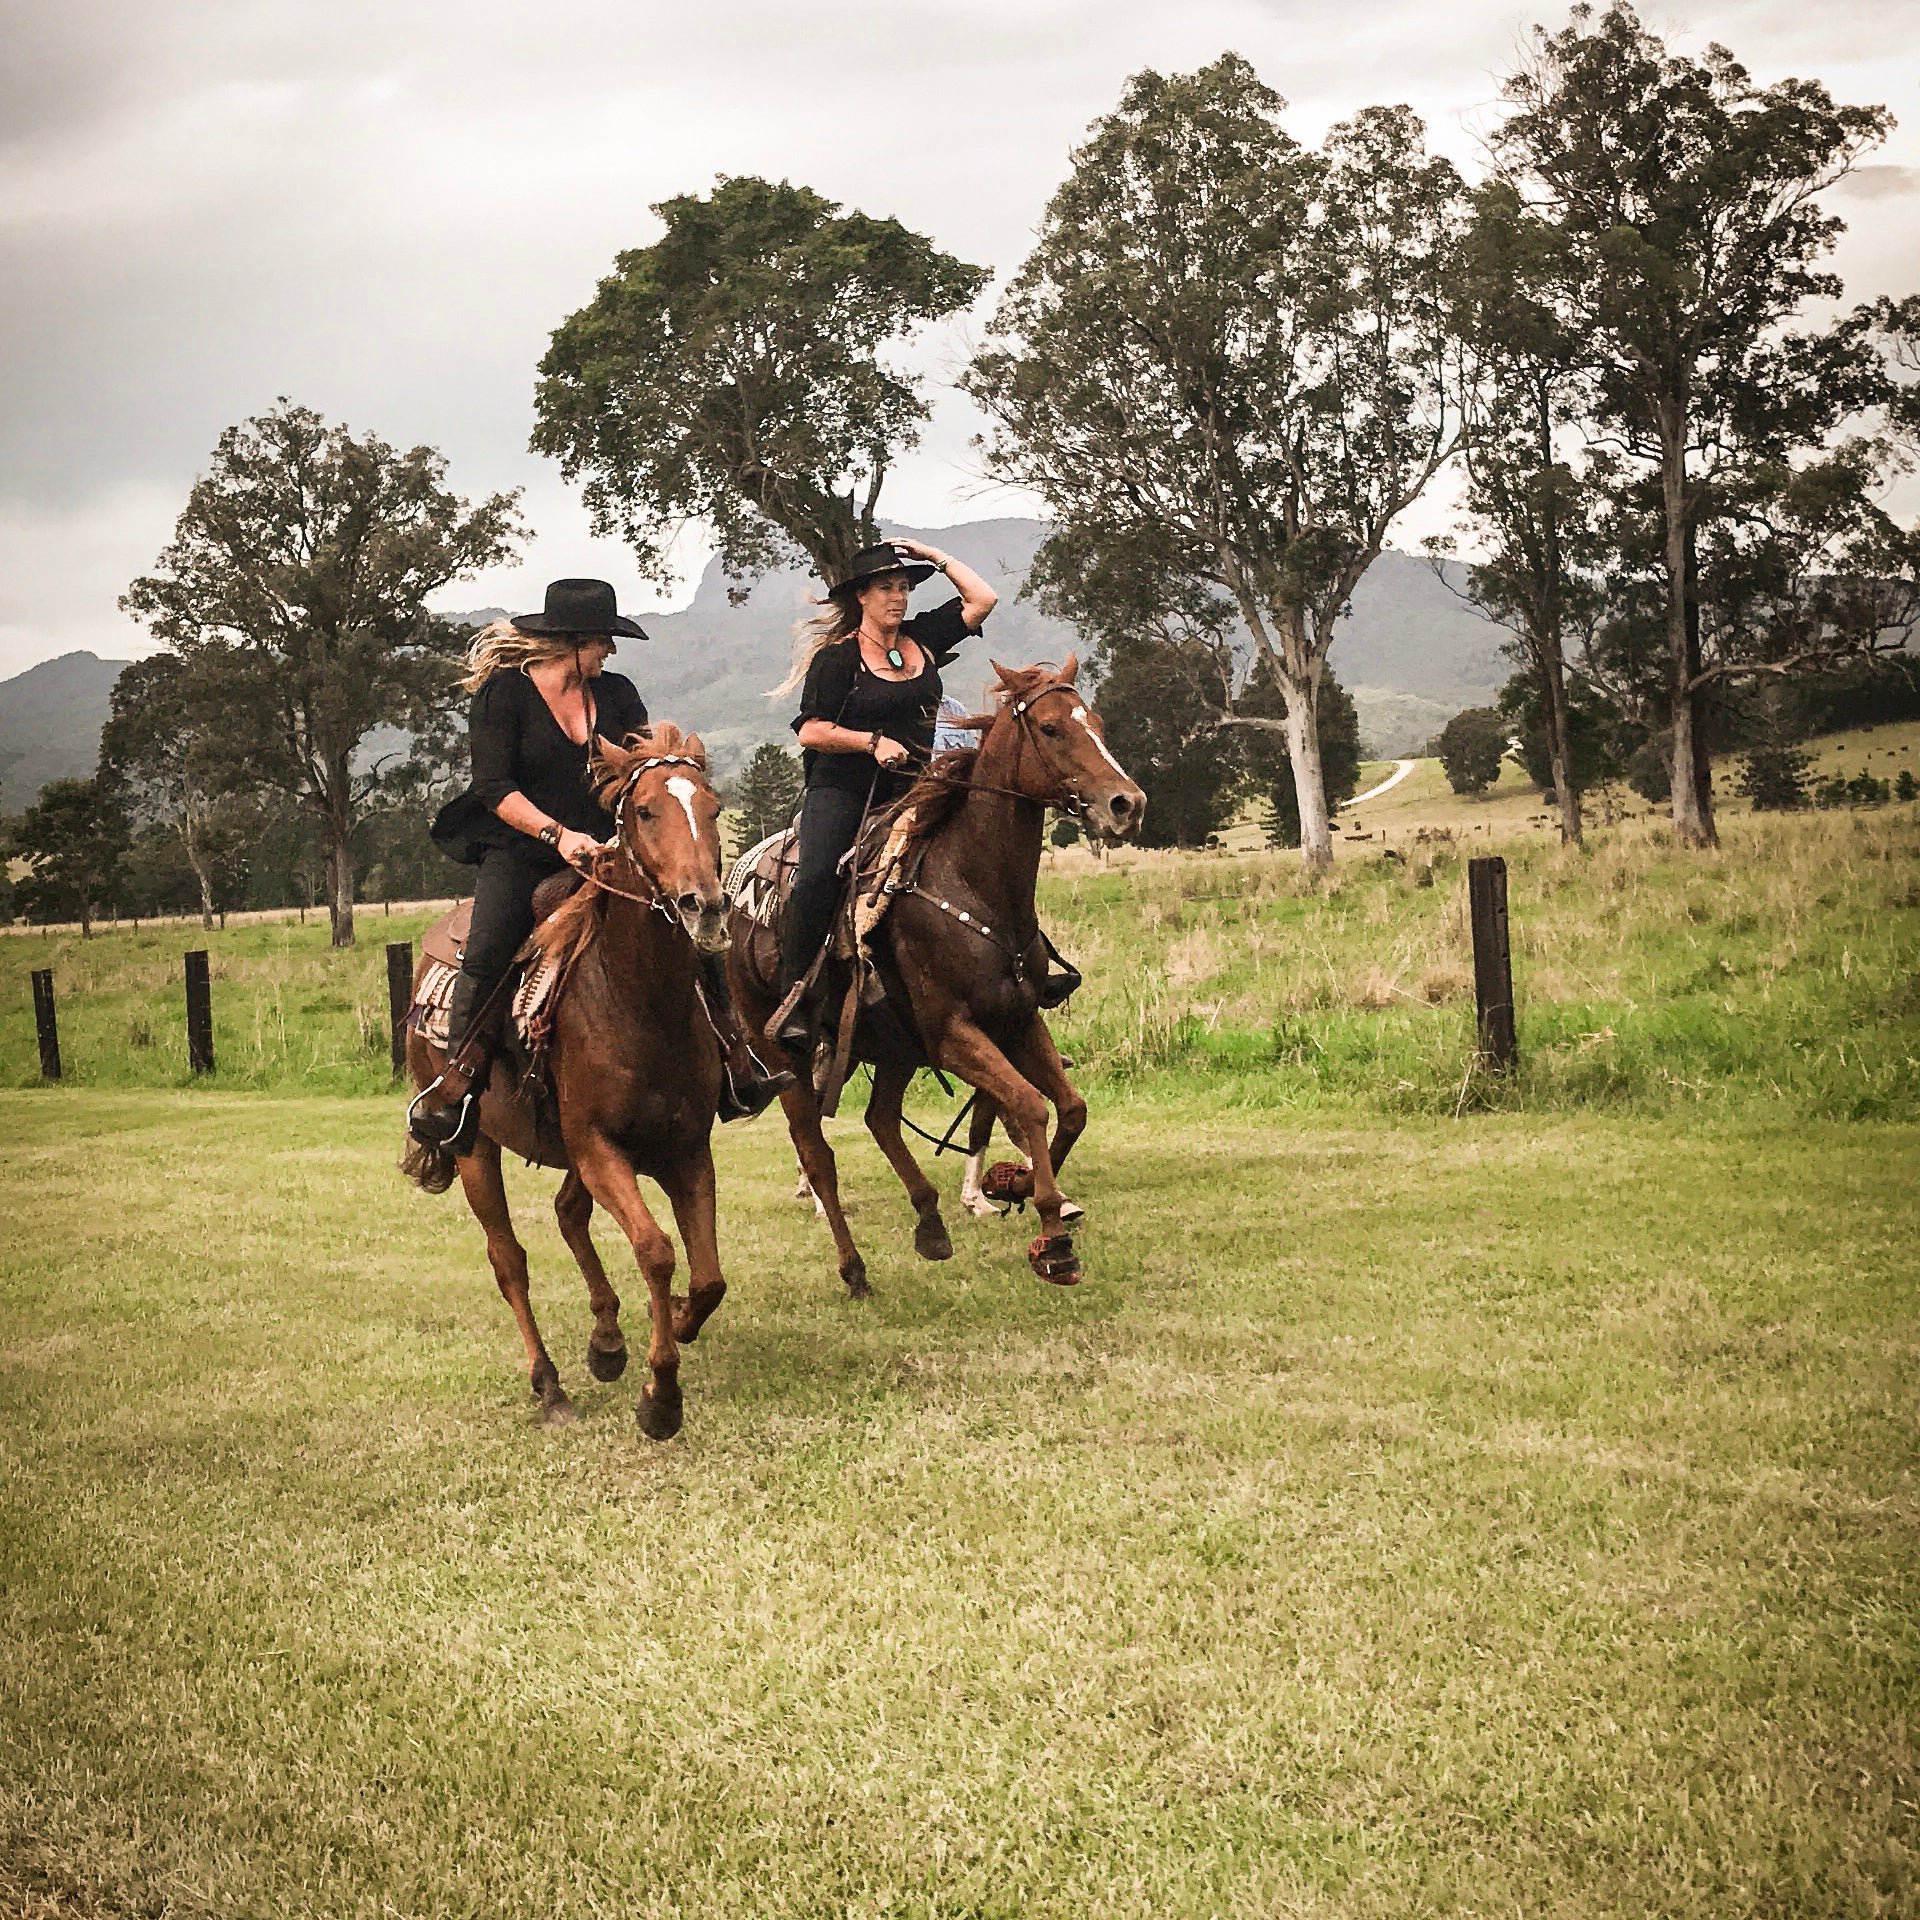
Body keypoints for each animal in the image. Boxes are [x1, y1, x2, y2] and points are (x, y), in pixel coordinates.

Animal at [401, 721, 729, 1443]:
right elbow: (656, 1250)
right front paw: (661, 1396)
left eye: (715, 809)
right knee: (509, 1260)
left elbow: (709, 1276)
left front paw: (677, 1323)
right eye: (645, 812)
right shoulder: (600, 1148)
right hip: (474, 1146)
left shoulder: (686, 1149)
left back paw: (606, 1340)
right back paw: (549, 1385)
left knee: (566, 1214)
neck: (639, 1002)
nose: (704, 906)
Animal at [733, 652, 1144, 1297]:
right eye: (1051, 728)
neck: (974, 885)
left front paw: (1020, 1186)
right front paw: (1053, 1240)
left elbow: (1070, 1108)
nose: (1128, 803)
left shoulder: (1016, 1022)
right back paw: (853, 1267)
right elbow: (1029, 1105)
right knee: (818, 1152)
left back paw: (929, 1222)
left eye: (1096, 722)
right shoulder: (954, 1034)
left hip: (891, 1047)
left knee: (880, 1119)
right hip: (787, 1055)